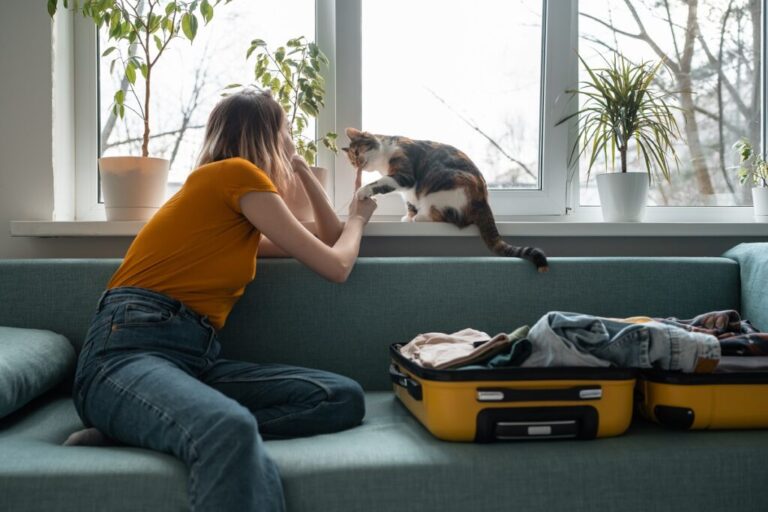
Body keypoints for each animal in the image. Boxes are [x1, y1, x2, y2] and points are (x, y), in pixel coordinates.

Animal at [344, 128, 548, 272]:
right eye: (352, 161)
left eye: (357, 152)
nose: (357, 165)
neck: (384, 156)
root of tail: (483, 200)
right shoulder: (408, 190)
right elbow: (409, 201)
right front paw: (407, 217)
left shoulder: (404, 176)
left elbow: (381, 183)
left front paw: (362, 191)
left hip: (443, 189)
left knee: (448, 216)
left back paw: (421, 217)